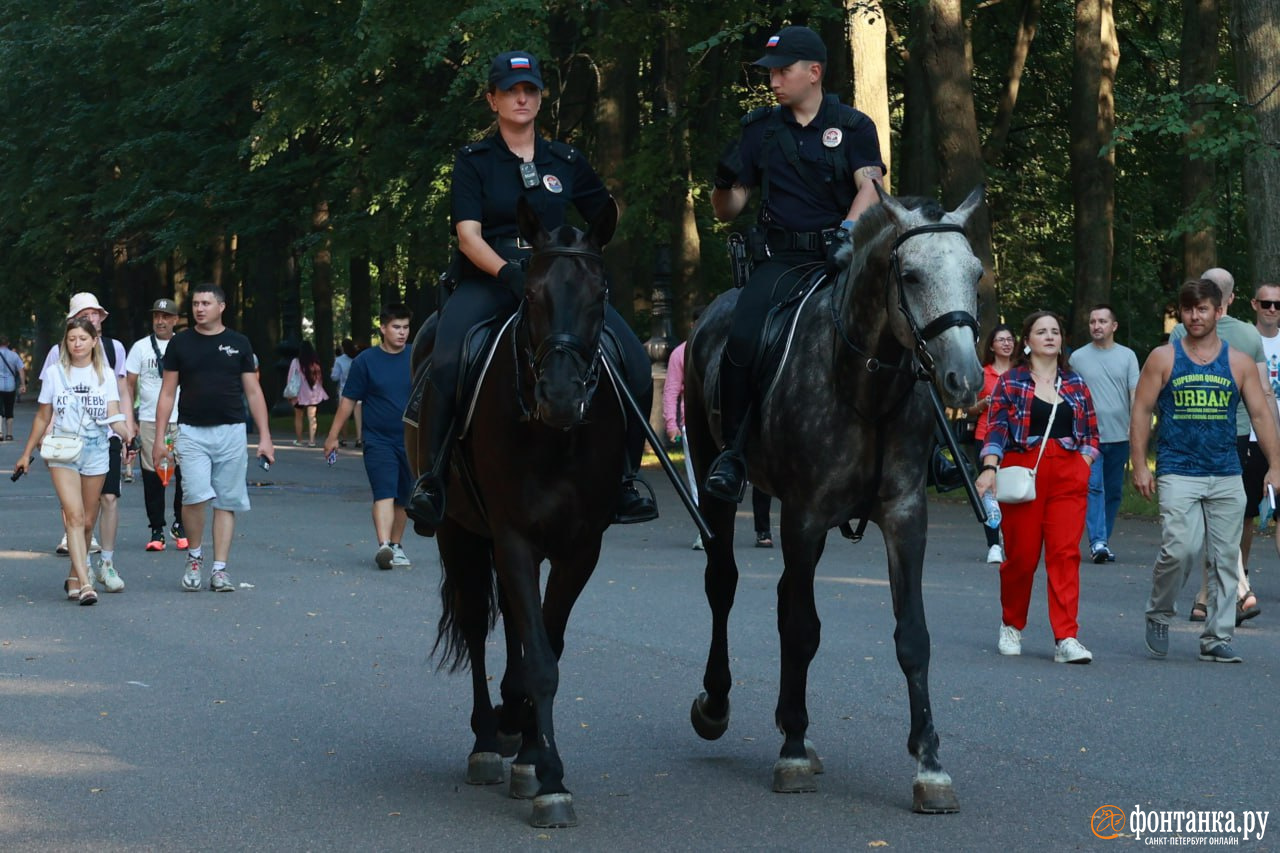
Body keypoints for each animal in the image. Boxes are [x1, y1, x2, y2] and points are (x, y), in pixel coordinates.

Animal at [407, 194, 627, 824]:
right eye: (529, 295)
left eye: (599, 295)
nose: (561, 396)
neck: (555, 439)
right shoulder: (512, 538)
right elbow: (539, 660)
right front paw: (550, 777)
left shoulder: (581, 546)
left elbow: (545, 648)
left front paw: (533, 753)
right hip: (458, 530)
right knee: (477, 624)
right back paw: (487, 738)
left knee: (512, 626)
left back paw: (510, 726)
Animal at [686, 184, 983, 809]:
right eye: (911, 275)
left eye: (975, 272)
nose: (966, 378)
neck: (866, 385)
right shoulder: (802, 516)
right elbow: (803, 629)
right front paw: (793, 753)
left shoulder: (903, 516)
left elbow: (912, 636)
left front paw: (929, 763)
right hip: (713, 478)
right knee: (723, 584)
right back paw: (717, 704)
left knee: (780, 597)